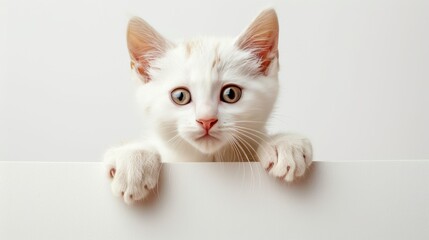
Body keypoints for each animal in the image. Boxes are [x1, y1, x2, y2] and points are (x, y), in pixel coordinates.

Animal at [103, 8, 310, 204]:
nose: (206, 120)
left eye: (231, 94)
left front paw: (284, 144)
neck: (208, 160)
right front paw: (133, 159)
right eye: (180, 96)